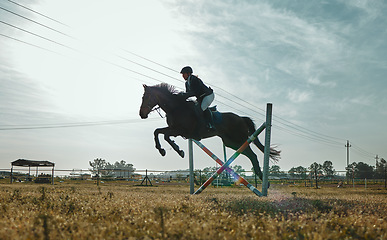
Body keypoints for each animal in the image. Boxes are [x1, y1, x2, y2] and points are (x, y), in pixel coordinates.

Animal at [140, 83, 282, 180]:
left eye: (146, 97)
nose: (142, 114)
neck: (176, 108)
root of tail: (241, 118)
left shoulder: (181, 130)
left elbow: (162, 134)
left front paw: (173, 150)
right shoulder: (177, 131)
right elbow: (159, 132)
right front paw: (169, 150)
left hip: (239, 139)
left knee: (253, 155)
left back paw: (263, 179)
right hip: (231, 142)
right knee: (250, 154)